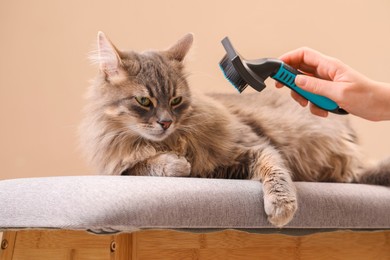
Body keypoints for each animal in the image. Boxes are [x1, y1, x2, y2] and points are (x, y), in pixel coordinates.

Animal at [80, 32, 390, 228]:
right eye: (145, 101)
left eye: (176, 101)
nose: (166, 122)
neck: (171, 141)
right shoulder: (120, 166)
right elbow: (148, 165)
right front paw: (178, 163)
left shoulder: (253, 145)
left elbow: (275, 172)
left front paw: (281, 206)